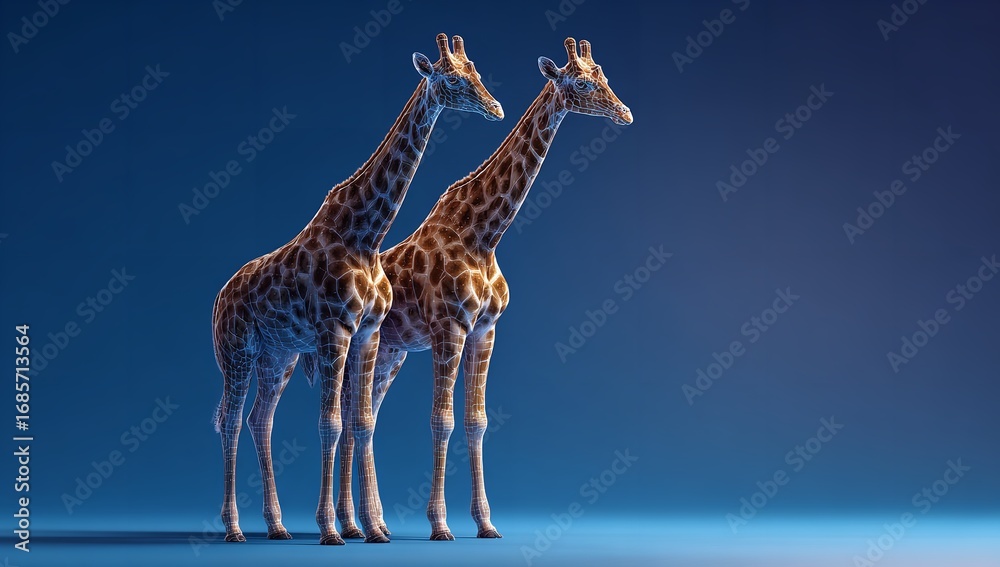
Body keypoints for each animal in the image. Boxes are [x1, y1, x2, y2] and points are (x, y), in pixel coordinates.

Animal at [211, 33, 503, 546]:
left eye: (476, 72)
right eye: (451, 79)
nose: (494, 107)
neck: (364, 235)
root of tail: (218, 297)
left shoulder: (366, 333)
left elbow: (359, 421)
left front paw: (363, 527)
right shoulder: (335, 330)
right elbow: (330, 423)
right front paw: (331, 530)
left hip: (279, 357)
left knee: (258, 420)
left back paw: (277, 525)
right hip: (237, 351)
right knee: (228, 422)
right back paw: (235, 529)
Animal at [337, 37, 632, 540]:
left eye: (605, 76)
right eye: (581, 84)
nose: (626, 113)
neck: (483, 234)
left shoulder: (486, 329)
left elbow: (477, 421)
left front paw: (486, 522)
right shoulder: (449, 328)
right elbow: (442, 420)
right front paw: (440, 525)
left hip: (392, 352)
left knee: (366, 413)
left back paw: (365, 521)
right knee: (350, 413)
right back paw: (353, 523)